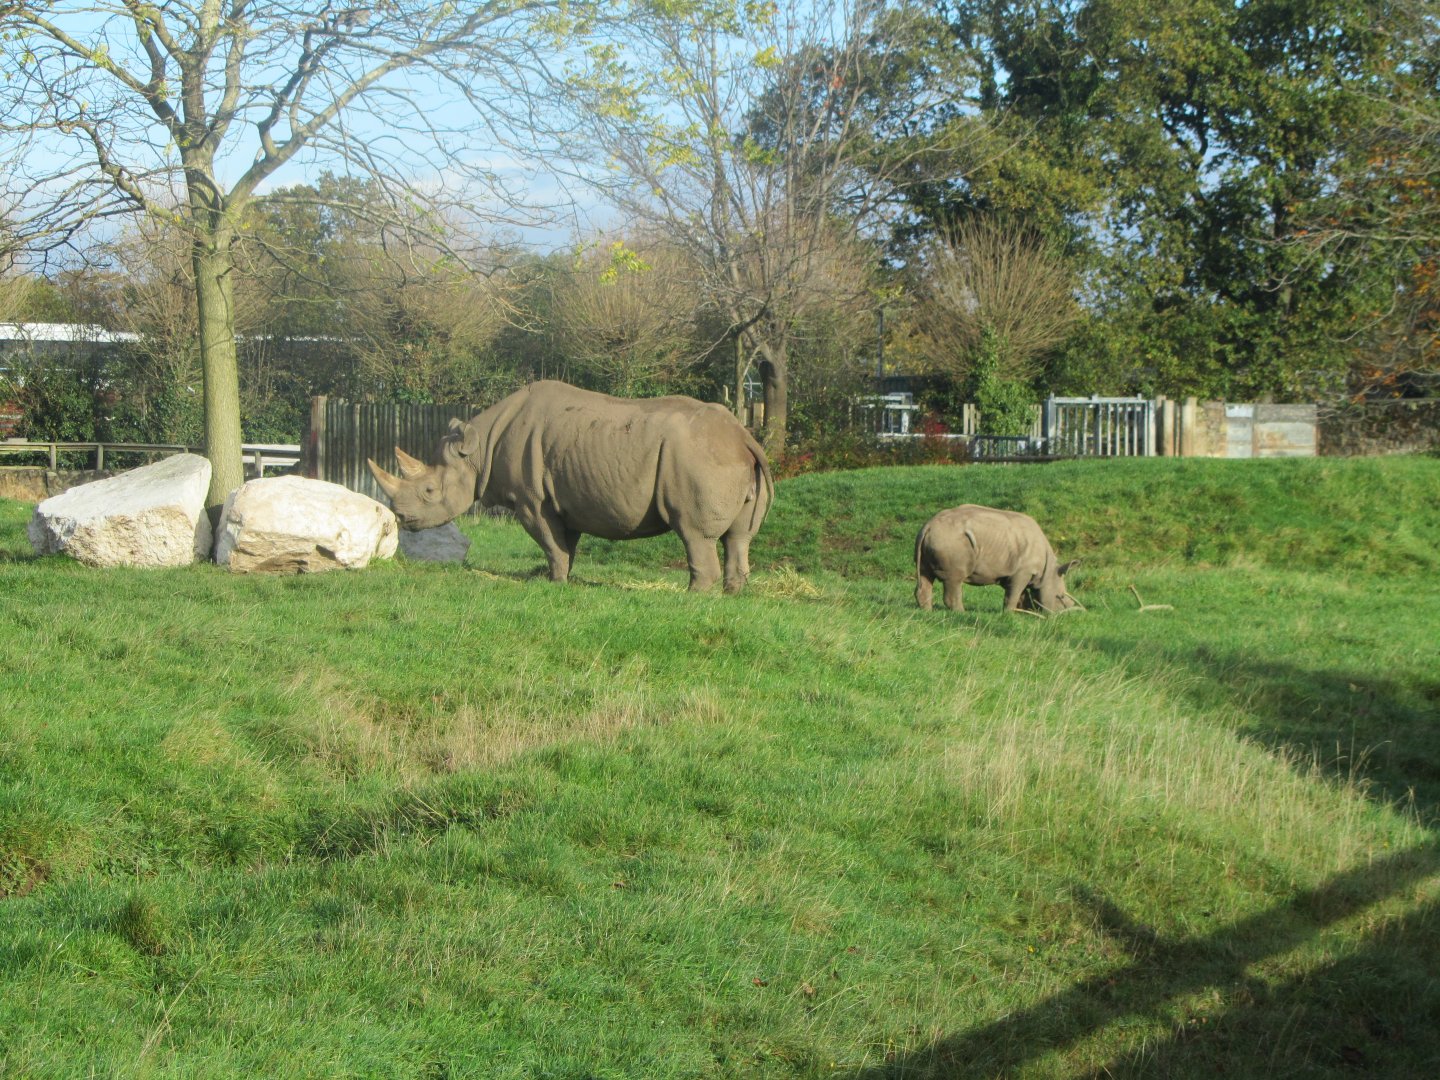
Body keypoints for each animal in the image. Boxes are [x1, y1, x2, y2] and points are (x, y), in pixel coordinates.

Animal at [368, 381, 773, 593]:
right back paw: (731, 596)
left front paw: (553, 584)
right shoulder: (567, 499)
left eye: (429, 492)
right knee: (739, 537)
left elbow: (551, 543)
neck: (479, 451)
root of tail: (744, 437)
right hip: (726, 457)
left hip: (697, 459)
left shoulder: (531, 500)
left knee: (693, 533)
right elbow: (566, 544)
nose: (401, 518)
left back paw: (691, 598)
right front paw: (562, 580)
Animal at [914, 504, 1080, 614]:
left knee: (925, 575)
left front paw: (1021, 612)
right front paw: (1009, 614)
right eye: (1060, 597)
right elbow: (1014, 593)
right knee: (955, 579)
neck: (1048, 571)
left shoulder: (1012, 571)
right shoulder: (1022, 571)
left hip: (935, 538)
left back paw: (927, 612)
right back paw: (961, 614)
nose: (1064, 616)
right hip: (951, 541)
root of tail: (928, 526)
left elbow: (1019, 593)